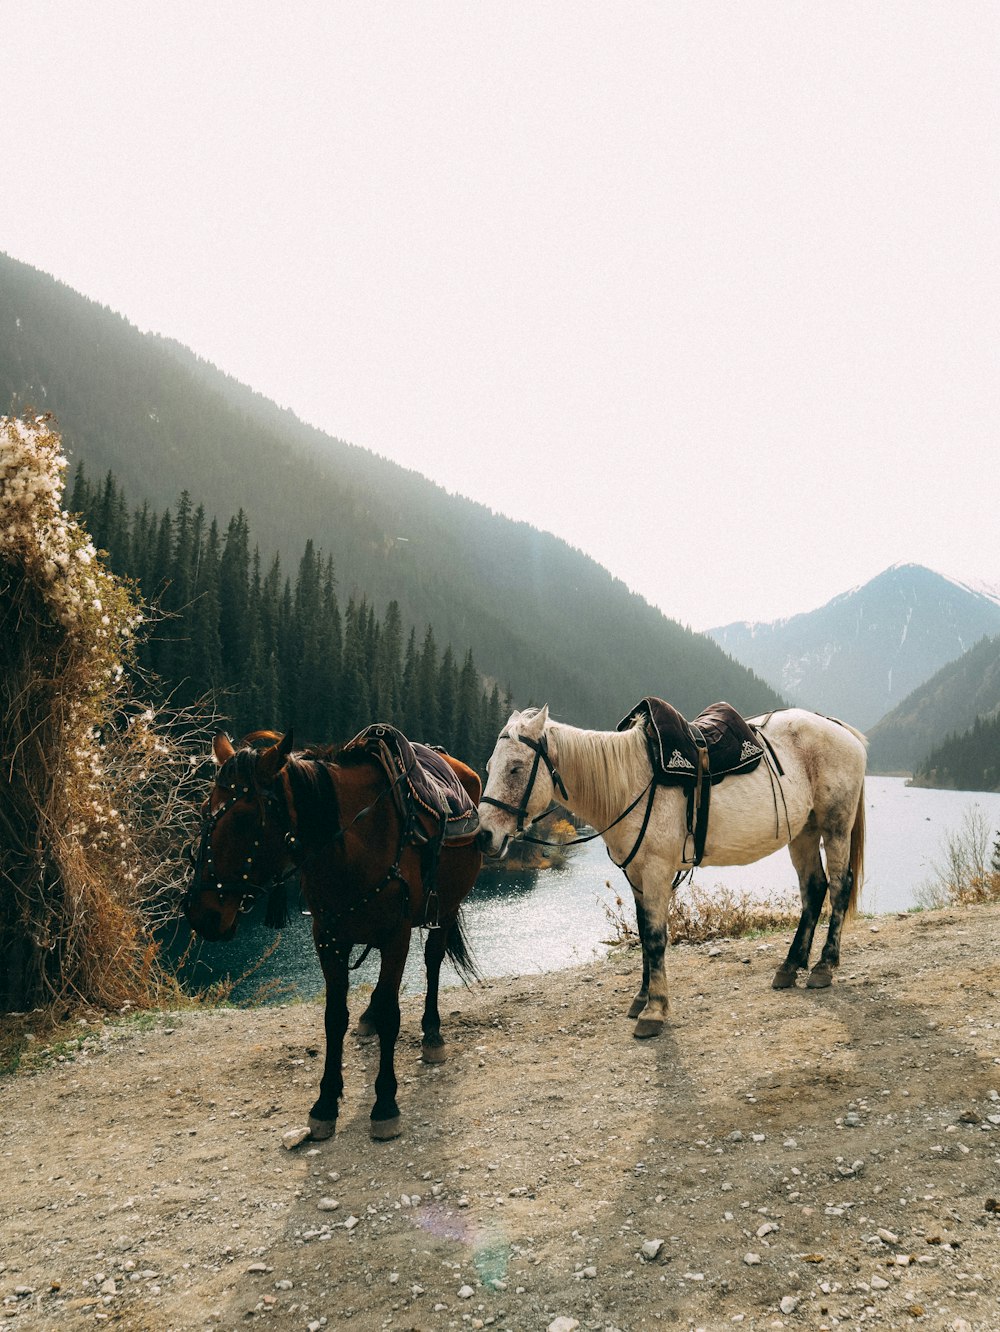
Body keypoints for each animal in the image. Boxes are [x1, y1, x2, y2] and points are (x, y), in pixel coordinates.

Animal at [189, 735, 490, 1140]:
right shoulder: (328, 938)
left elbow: (393, 1013)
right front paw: (325, 1103)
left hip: (444, 911)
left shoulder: (396, 936)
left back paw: (432, 1034)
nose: (201, 914)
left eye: (243, 818)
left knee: (432, 961)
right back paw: (370, 1015)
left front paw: (385, 1103)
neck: (352, 847)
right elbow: (334, 1017)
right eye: (205, 810)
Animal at [479, 703, 868, 1033]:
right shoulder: (636, 875)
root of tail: (841, 729)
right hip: (803, 832)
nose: (484, 835)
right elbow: (643, 933)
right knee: (814, 889)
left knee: (838, 886)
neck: (629, 782)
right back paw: (790, 967)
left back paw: (823, 966)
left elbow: (655, 937)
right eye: (488, 767)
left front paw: (654, 1010)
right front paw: (642, 999)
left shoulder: (656, 871)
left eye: (515, 768)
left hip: (835, 827)